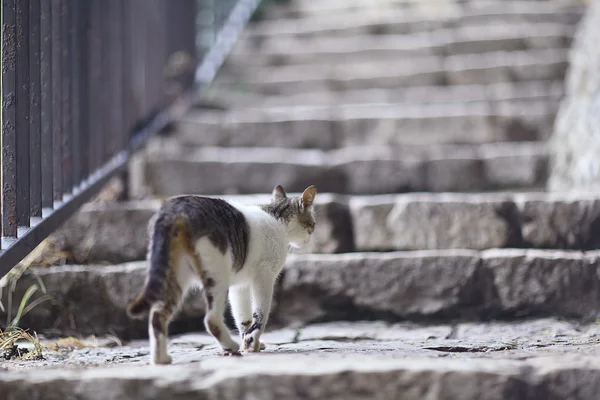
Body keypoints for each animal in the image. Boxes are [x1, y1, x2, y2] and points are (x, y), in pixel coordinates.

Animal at [127, 183, 318, 364]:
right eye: (313, 225)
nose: (310, 238)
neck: (277, 218)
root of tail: (174, 209)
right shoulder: (264, 276)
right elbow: (260, 314)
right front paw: (252, 340)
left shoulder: (239, 285)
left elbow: (243, 317)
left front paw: (248, 343)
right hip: (217, 272)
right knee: (211, 319)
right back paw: (230, 347)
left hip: (174, 276)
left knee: (158, 315)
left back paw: (160, 359)